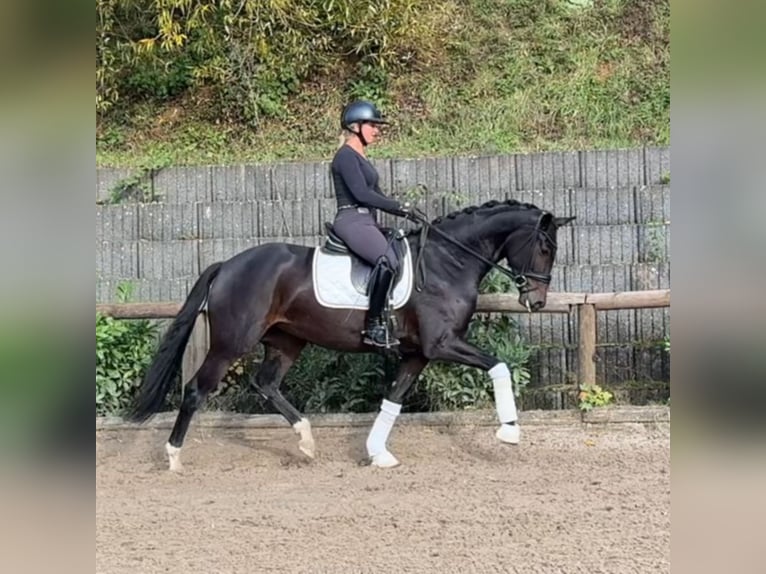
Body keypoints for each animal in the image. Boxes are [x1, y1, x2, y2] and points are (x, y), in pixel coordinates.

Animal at [129, 200, 576, 470]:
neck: (448, 261)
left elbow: (392, 400)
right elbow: (499, 367)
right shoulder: (442, 344)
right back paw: (173, 457)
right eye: (545, 249)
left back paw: (307, 441)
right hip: (231, 343)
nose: (536, 301)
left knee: (266, 383)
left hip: (287, 341)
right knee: (195, 390)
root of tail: (227, 264)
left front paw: (378, 454)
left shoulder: (417, 353)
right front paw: (510, 431)